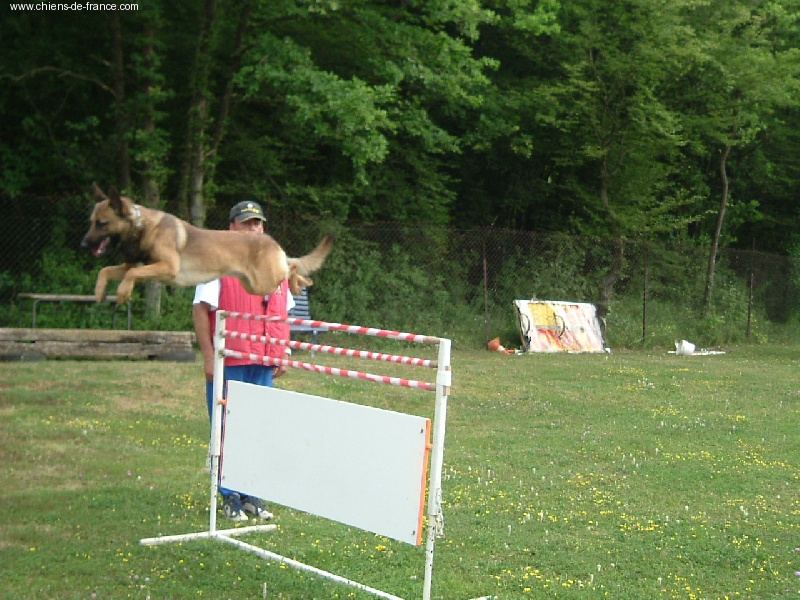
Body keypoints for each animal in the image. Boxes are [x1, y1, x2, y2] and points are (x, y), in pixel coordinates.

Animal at [80, 183, 332, 304]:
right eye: (91, 222)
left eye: (102, 224)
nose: (83, 245)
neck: (141, 227)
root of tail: (273, 242)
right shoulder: (135, 266)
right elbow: (106, 270)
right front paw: (100, 292)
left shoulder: (167, 268)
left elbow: (130, 276)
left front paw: (122, 293)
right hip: (254, 286)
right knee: (292, 268)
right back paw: (303, 282)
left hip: (265, 281)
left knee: (292, 268)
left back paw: (300, 283)